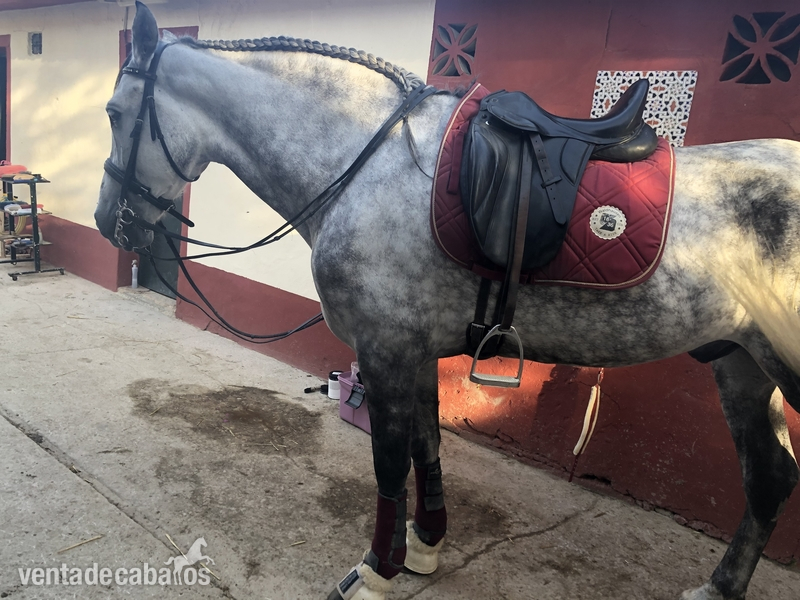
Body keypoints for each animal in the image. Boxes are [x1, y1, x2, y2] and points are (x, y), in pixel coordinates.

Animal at [95, 3, 800, 599]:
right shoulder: (417, 349)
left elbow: (388, 464)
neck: (369, 163)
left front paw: (376, 570)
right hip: (742, 363)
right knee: (769, 478)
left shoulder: (385, 349)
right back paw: (719, 586)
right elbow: (425, 447)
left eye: (113, 112)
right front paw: (424, 546)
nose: (107, 221)